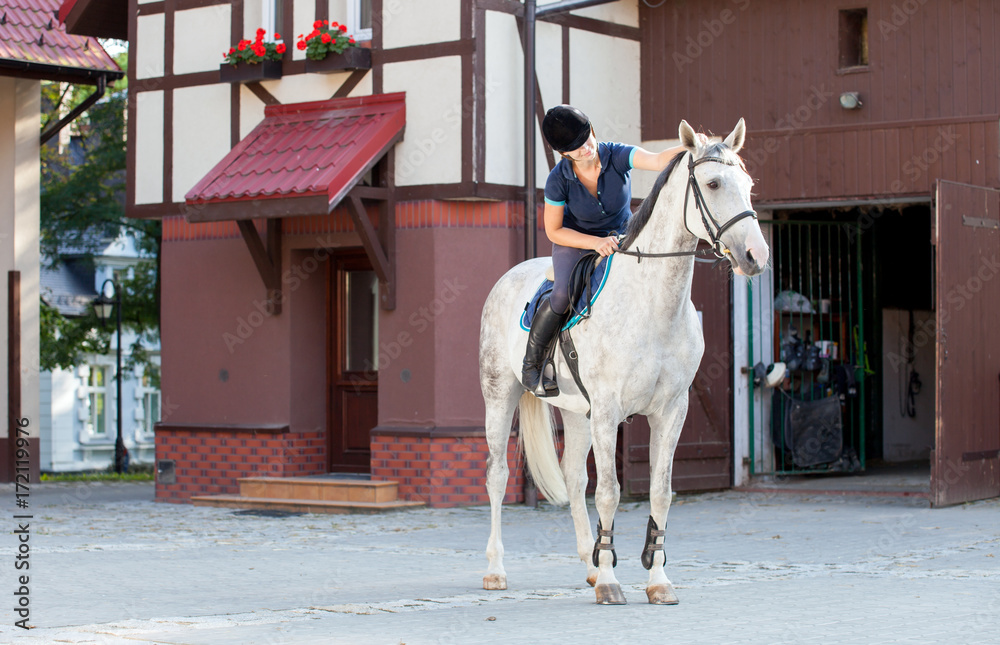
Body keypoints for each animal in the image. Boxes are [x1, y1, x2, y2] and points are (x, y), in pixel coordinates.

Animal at [480, 117, 768, 604]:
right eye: (712, 183)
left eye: (748, 184)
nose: (756, 257)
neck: (653, 303)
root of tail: (508, 277)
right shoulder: (609, 411)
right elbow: (611, 494)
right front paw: (612, 582)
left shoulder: (670, 411)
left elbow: (660, 493)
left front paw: (657, 581)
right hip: (502, 396)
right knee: (498, 475)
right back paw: (497, 570)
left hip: (577, 413)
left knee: (573, 478)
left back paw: (589, 566)